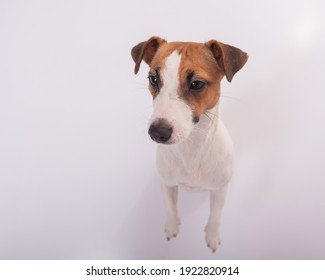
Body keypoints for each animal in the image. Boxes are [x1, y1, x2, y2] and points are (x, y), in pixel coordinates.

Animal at [130, 36, 247, 253]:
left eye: (196, 84)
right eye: (153, 79)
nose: (157, 132)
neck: (191, 148)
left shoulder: (220, 189)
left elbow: (215, 215)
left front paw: (212, 236)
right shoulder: (166, 183)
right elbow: (170, 207)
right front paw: (172, 226)